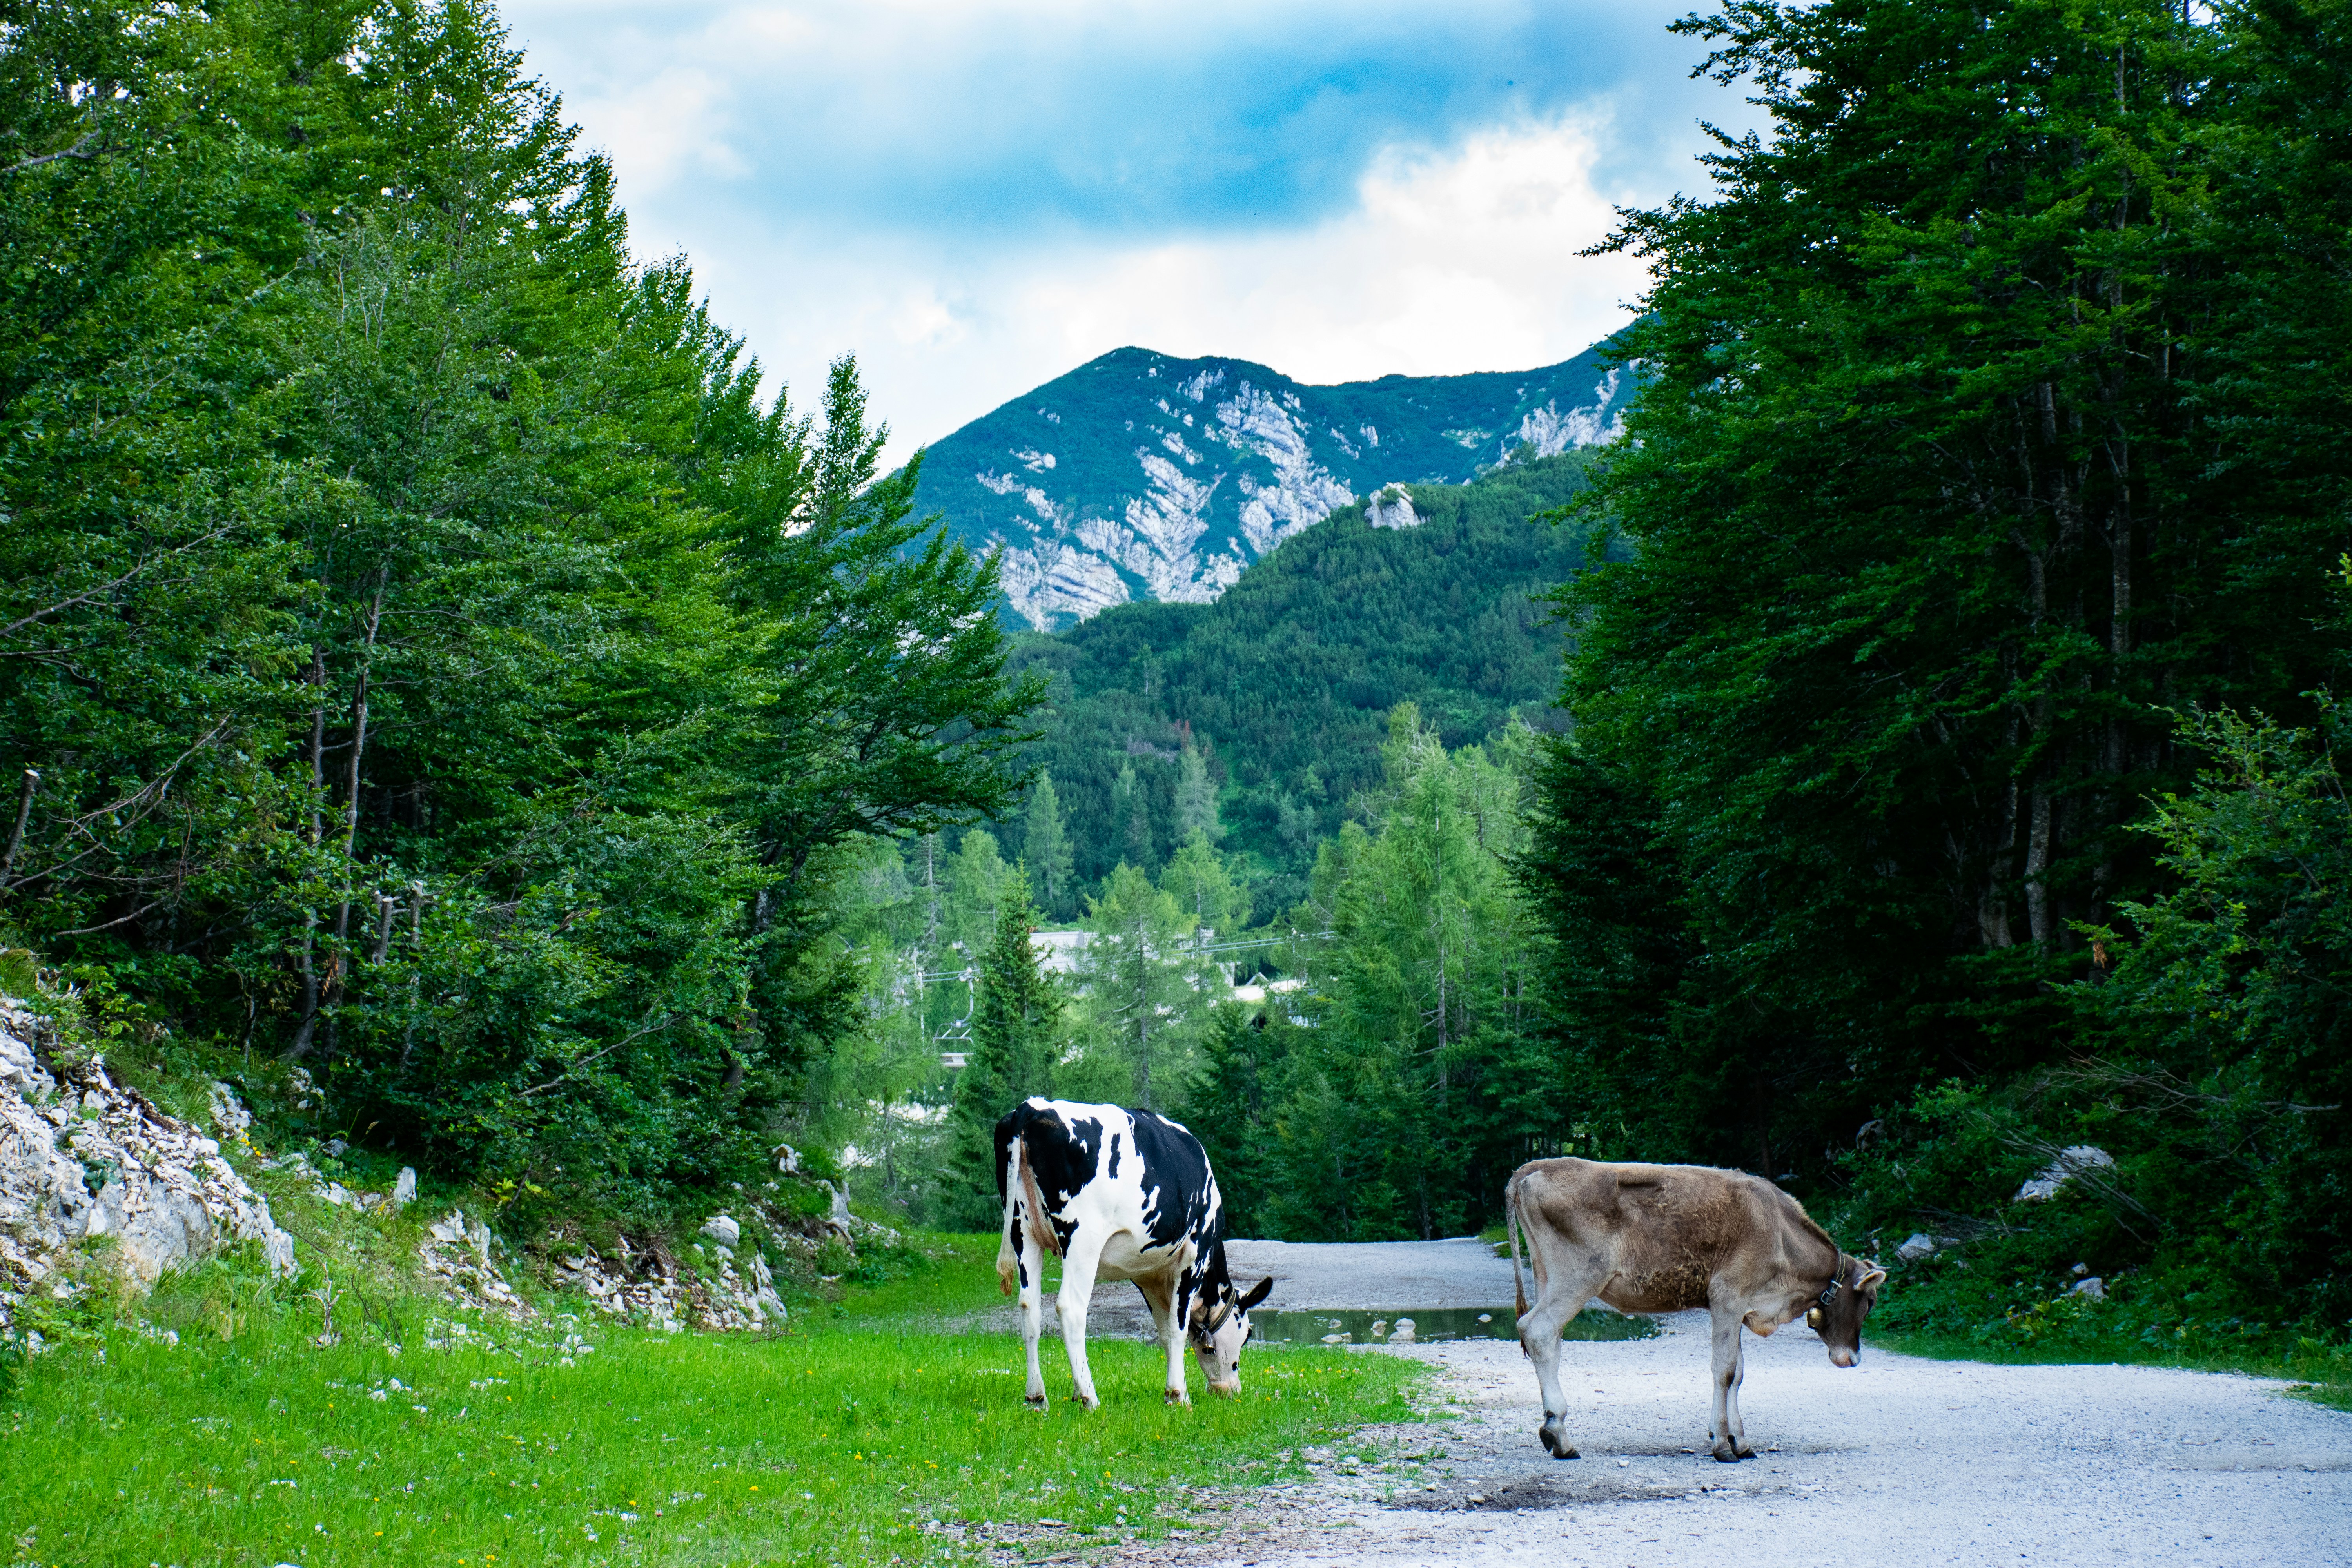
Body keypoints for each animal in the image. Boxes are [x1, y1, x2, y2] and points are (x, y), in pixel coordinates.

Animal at [995, 1097, 1274, 1410]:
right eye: (1247, 1335)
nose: (1229, 1390)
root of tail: (1032, 1107)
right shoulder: (1193, 1256)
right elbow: (1178, 1329)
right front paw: (1180, 1395)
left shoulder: (1148, 1274)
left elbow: (1164, 1332)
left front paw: (1170, 1393)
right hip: (1082, 1239)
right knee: (1070, 1308)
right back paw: (1089, 1398)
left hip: (1022, 1232)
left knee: (1029, 1309)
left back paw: (1036, 1397)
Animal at [1504, 1157, 1885, 1463]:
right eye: (1870, 1301)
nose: (1853, 1358)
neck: (1781, 1234)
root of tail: (1538, 1166)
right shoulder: (1727, 1296)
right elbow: (1725, 1371)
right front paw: (1723, 1446)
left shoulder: (1739, 1308)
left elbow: (1739, 1373)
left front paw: (1740, 1441)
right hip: (1580, 1276)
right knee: (1537, 1328)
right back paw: (1561, 1435)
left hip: (1547, 1274)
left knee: (1550, 1340)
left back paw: (1553, 1431)